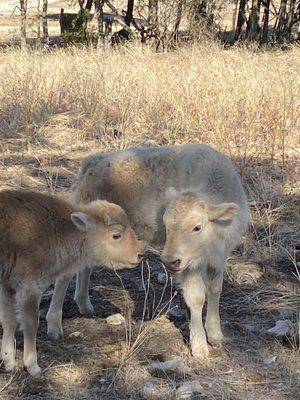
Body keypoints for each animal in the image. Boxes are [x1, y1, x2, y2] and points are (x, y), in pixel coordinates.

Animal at [0, 190, 145, 376]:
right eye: (116, 235)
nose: (140, 254)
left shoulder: (8, 286)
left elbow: (10, 320)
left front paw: (10, 363)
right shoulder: (29, 288)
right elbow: (31, 323)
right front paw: (33, 367)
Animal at [47, 143, 248, 356]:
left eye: (197, 227)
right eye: (166, 225)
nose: (169, 261)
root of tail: (91, 162)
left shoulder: (218, 257)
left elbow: (215, 289)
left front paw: (216, 335)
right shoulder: (189, 265)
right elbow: (197, 297)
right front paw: (200, 346)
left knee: (85, 266)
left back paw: (85, 305)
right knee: (65, 275)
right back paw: (54, 325)